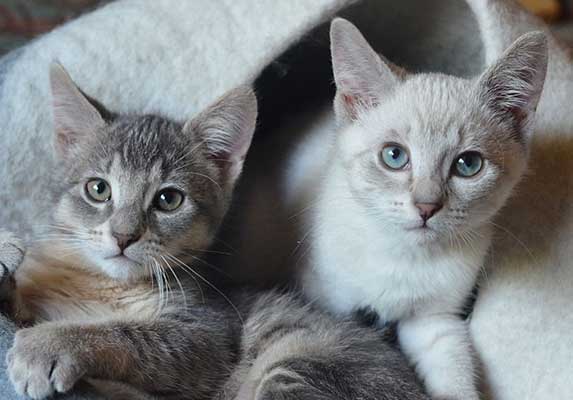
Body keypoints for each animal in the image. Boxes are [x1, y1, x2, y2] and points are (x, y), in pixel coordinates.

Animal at [0, 64, 426, 398]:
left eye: (168, 199)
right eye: (98, 189)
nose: (123, 236)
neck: (103, 286)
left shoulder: (206, 334)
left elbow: (129, 336)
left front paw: (52, 342)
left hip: (298, 367)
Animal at [300, 17, 544, 398]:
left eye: (468, 164)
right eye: (394, 155)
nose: (427, 207)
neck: (404, 258)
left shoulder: (433, 321)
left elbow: (454, 372)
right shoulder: (323, 297)